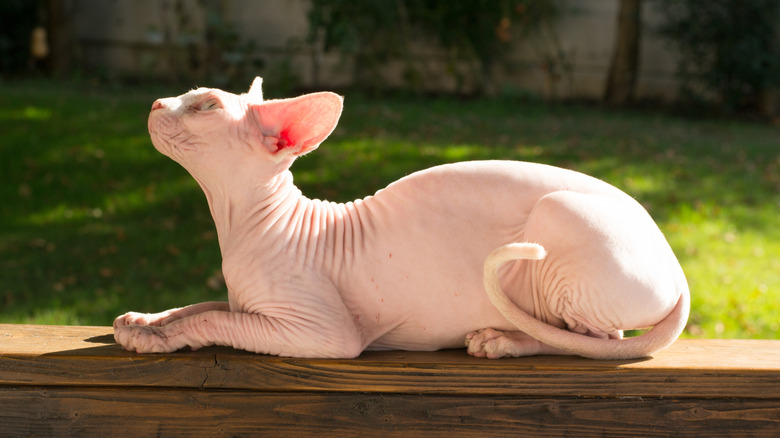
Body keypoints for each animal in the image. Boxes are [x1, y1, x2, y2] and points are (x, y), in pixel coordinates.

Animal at [111, 78, 688, 360]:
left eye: (205, 106)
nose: (157, 102)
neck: (245, 224)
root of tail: (678, 267)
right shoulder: (243, 302)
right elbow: (203, 305)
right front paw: (144, 321)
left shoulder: (324, 331)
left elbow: (214, 320)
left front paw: (155, 339)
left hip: (559, 217)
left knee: (598, 343)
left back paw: (503, 341)